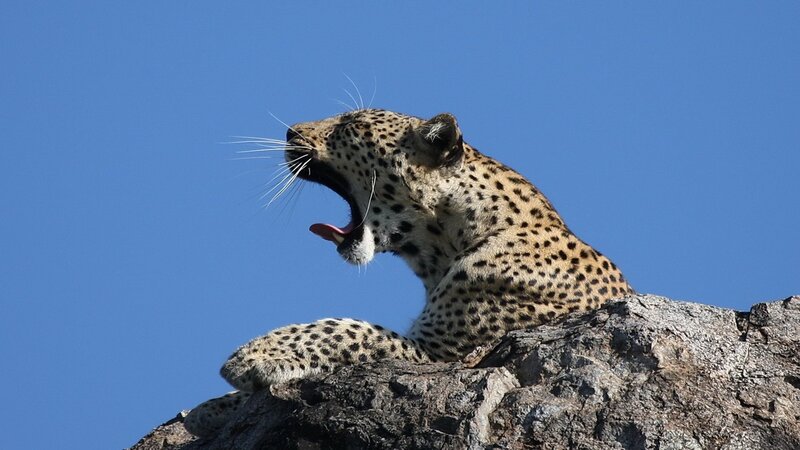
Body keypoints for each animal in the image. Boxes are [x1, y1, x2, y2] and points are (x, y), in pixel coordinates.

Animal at [183, 109, 634, 437]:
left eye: (350, 125)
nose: (291, 132)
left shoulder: (445, 354)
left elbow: (352, 328)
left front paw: (253, 356)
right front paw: (211, 408)